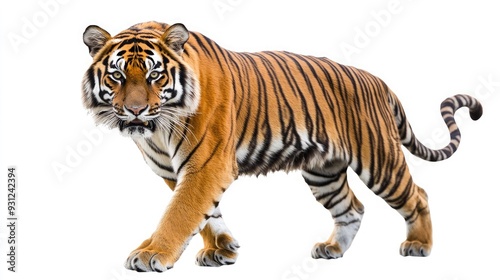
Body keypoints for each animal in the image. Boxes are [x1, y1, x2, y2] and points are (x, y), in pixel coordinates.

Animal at [81, 21, 480, 272]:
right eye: (116, 75)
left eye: (154, 74)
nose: (135, 110)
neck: (157, 128)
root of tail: (378, 82)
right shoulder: (175, 171)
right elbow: (206, 215)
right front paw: (222, 248)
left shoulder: (205, 165)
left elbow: (179, 214)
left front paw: (152, 254)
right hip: (323, 172)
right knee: (352, 208)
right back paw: (333, 249)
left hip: (379, 159)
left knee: (418, 195)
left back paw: (419, 246)